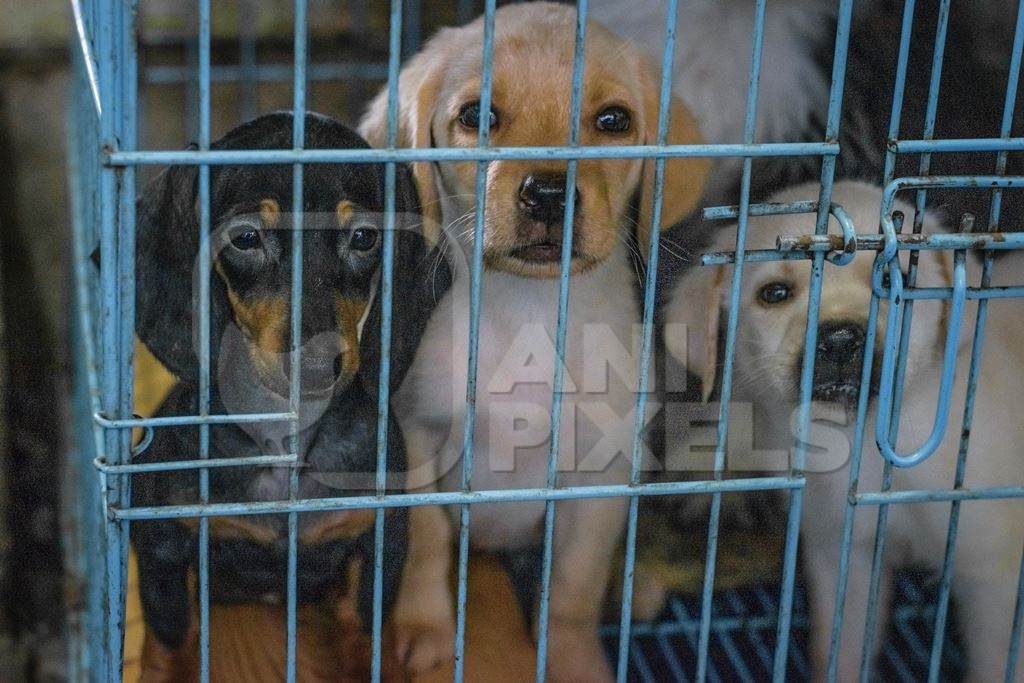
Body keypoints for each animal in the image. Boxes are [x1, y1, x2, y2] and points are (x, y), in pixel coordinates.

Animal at [129, 113, 440, 667]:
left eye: (365, 237)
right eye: (246, 238)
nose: (317, 366)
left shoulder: (379, 544)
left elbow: (364, 632)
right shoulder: (162, 546)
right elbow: (171, 644)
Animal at [362, 2, 712, 679]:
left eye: (613, 120)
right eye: (476, 116)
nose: (547, 193)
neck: (528, 315)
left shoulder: (601, 478)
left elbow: (573, 588)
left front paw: (573, 657)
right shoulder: (418, 438)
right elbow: (427, 545)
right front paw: (424, 627)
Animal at [663, 181, 1024, 683]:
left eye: (895, 281)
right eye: (775, 293)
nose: (840, 340)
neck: (866, 443)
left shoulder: (993, 578)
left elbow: (995, 663)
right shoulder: (841, 557)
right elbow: (839, 648)